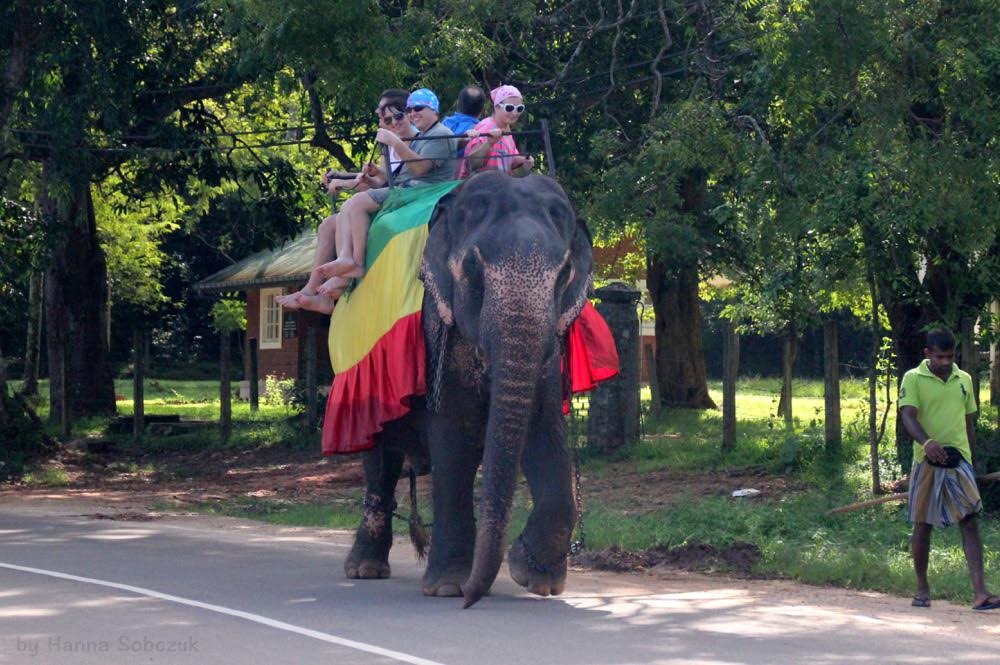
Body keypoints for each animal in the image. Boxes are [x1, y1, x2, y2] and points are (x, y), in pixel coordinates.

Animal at [344, 170, 592, 608]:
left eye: (564, 274)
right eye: (473, 269)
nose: (471, 601)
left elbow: (543, 428)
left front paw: (535, 579)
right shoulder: (438, 329)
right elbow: (454, 438)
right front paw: (449, 588)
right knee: (380, 462)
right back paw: (365, 571)